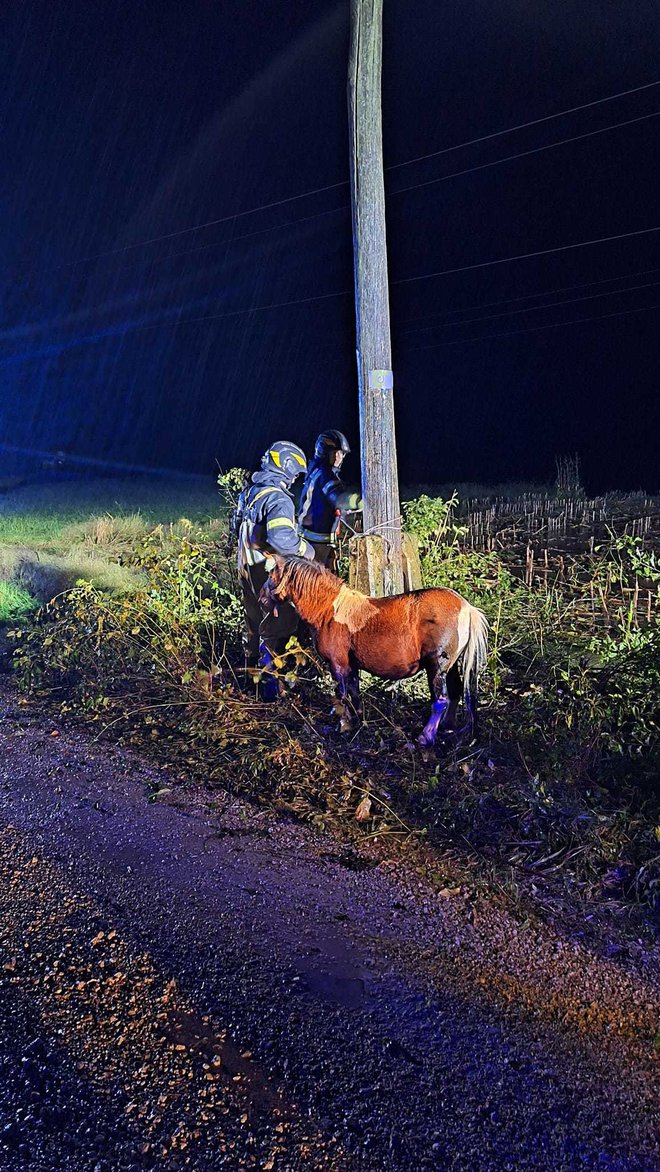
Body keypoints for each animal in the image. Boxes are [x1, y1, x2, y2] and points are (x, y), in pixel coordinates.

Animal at [261, 555, 487, 740]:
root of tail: (466, 607)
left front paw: (343, 725)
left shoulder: (337, 664)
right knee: (456, 691)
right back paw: (447, 727)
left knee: (441, 700)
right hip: (451, 665)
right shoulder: (351, 665)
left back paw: (426, 737)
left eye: (271, 574)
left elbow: (341, 694)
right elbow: (354, 692)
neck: (329, 610)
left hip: (436, 666)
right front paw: (358, 720)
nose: (262, 598)